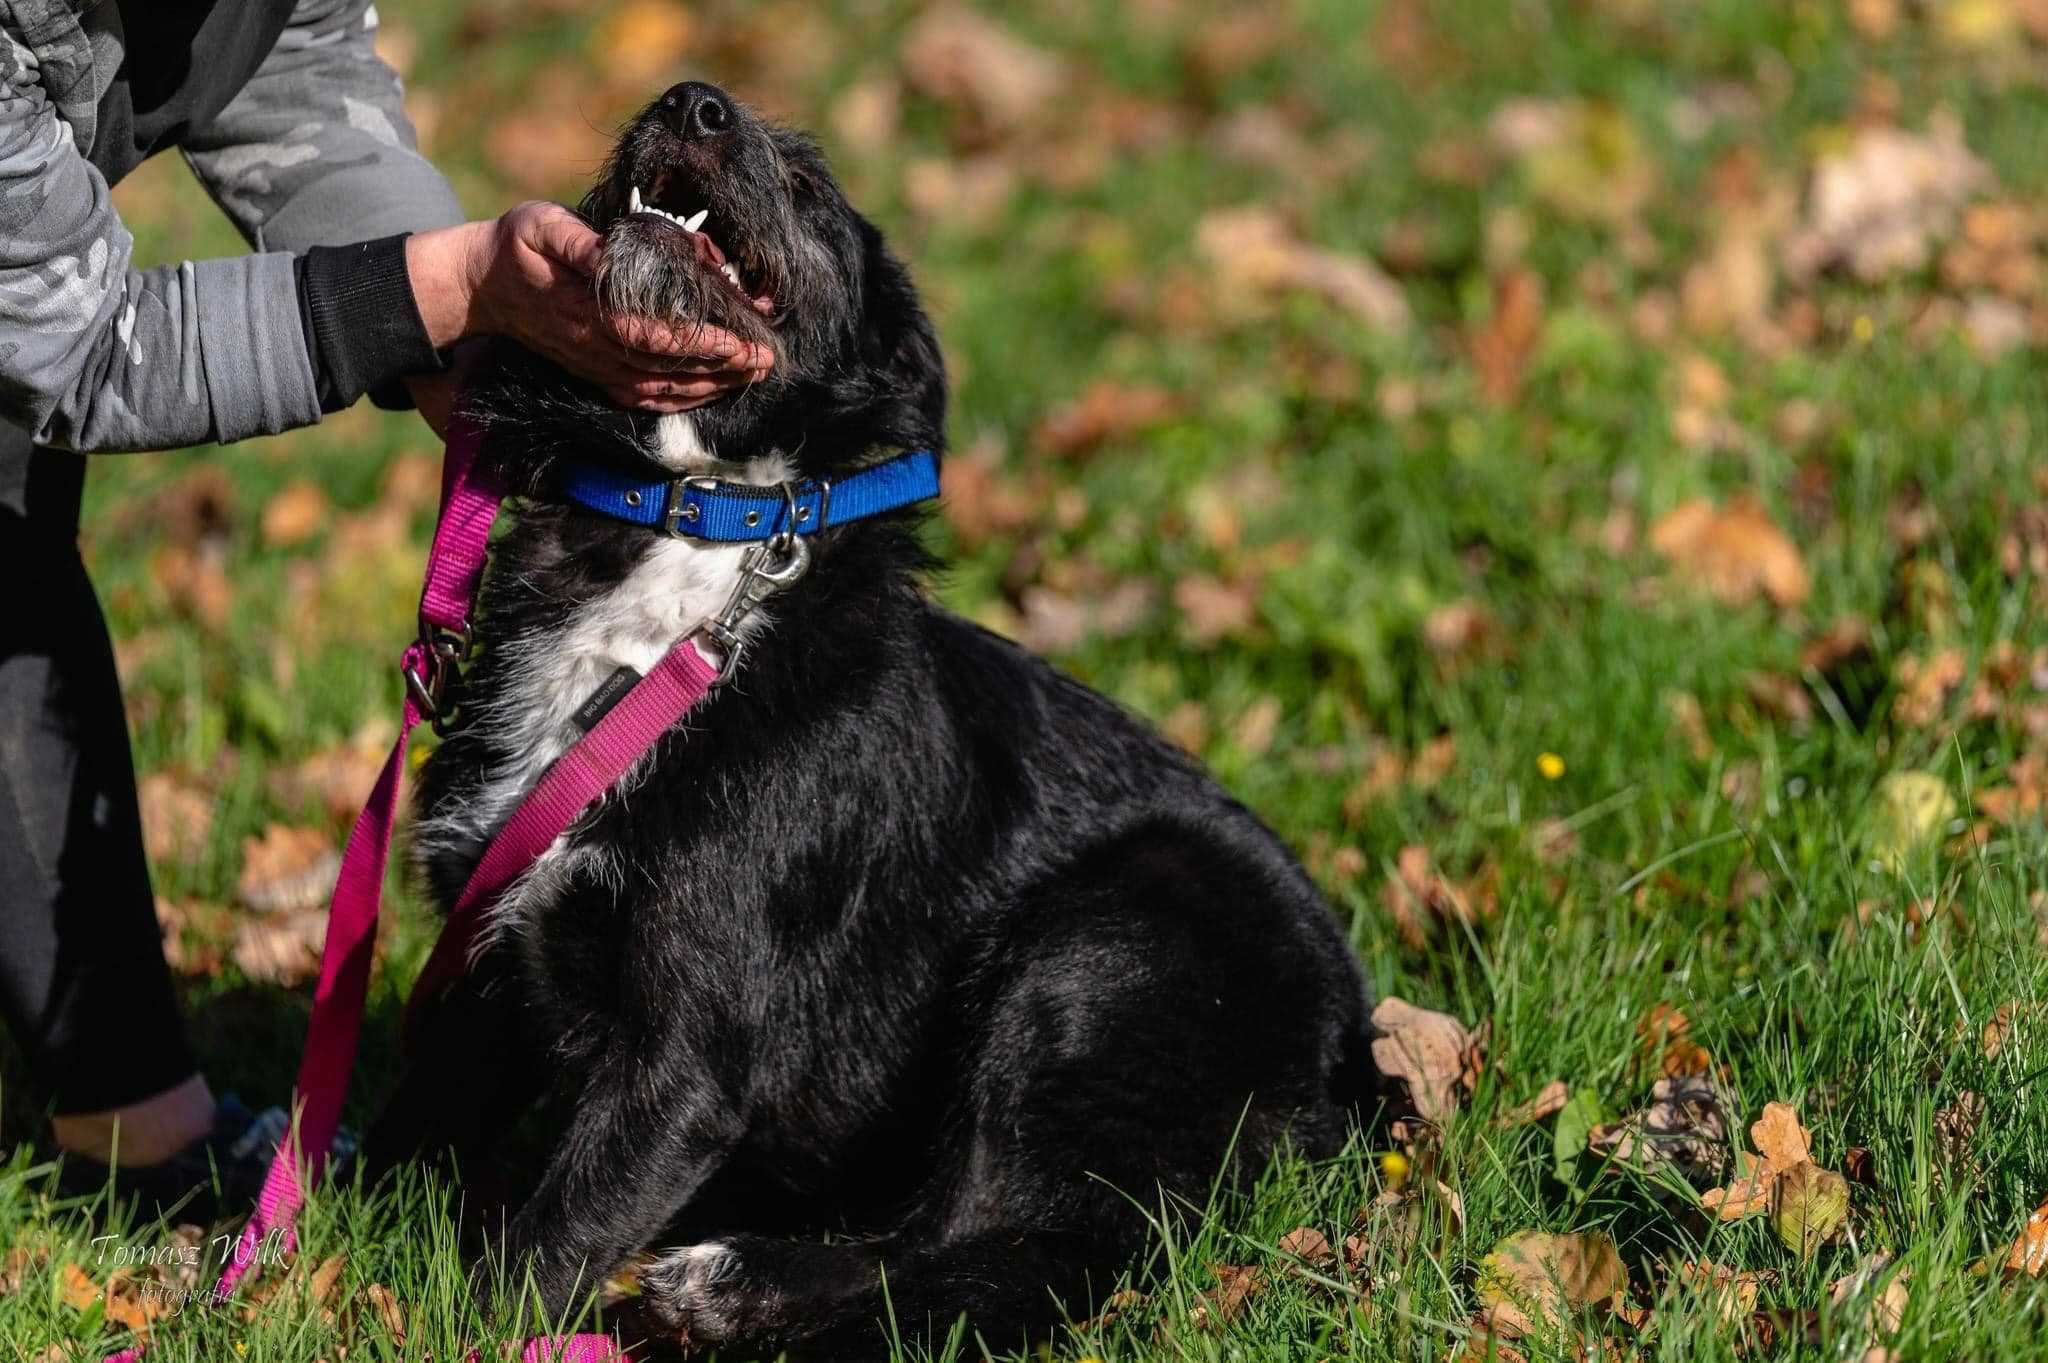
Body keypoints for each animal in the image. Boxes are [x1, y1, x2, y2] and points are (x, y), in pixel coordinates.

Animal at [368, 79, 1376, 1350]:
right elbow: (390, 1139)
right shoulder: (488, 961)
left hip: (1100, 952)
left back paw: (734, 1284)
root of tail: (1355, 1055)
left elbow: (542, 1242)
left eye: (807, 185)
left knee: (1005, 1251)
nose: (691, 98)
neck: (693, 532)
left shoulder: (684, 1059)